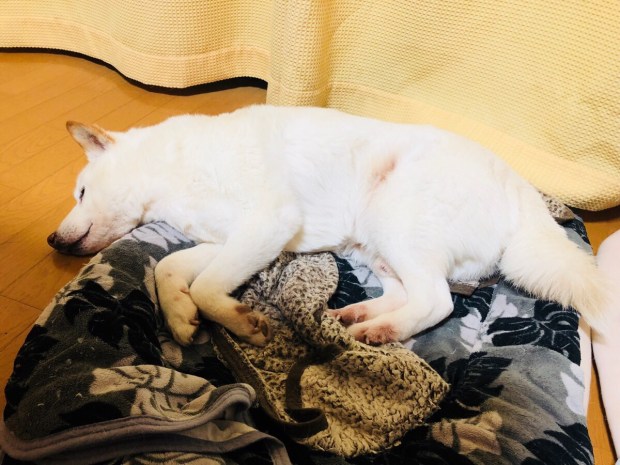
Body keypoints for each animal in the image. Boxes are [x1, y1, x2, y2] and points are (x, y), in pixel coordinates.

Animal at [48, 104, 608, 346]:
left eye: (80, 192)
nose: (52, 239)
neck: (171, 169)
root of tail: (523, 193)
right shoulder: (236, 239)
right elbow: (169, 271)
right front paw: (183, 318)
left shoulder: (267, 223)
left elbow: (207, 286)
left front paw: (239, 323)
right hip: (374, 247)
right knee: (408, 293)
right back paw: (357, 316)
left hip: (396, 222)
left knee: (436, 302)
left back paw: (382, 330)